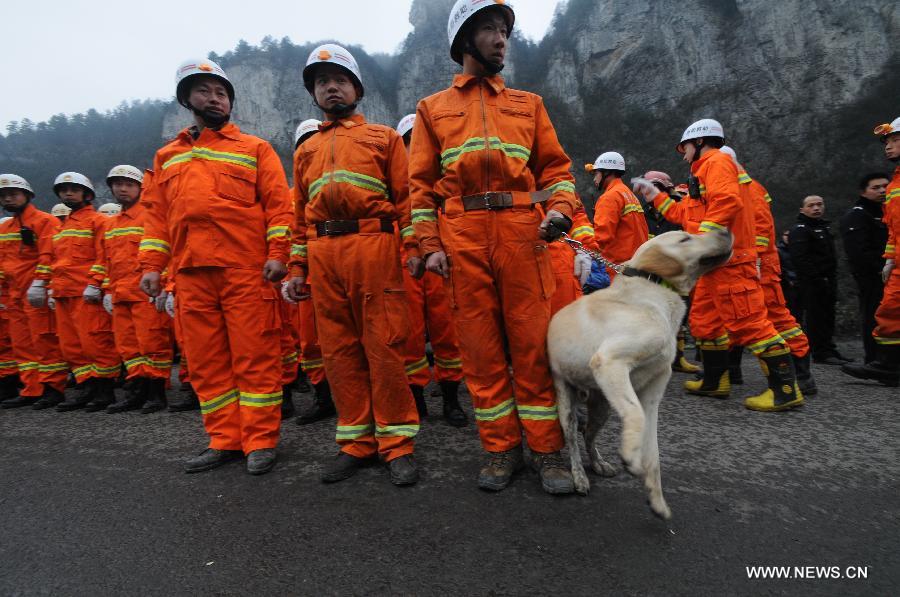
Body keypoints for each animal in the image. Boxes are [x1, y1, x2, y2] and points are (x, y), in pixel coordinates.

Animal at [548, 228, 732, 516]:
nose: (725, 230)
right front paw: (630, 457)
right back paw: (579, 477)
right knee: (574, 441)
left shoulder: (654, 391)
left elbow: (653, 451)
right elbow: (635, 414)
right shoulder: (609, 361)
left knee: (588, 435)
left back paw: (599, 463)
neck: (653, 294)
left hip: (602, 407)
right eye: (685, 239)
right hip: (566, 404)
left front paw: (656, 499)